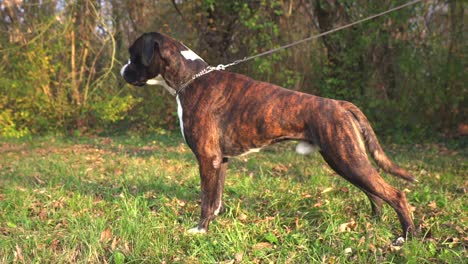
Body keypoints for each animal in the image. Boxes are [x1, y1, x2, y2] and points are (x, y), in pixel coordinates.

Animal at [120, 31, 416, 239]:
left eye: (133, 55)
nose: (122, 70)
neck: (190, 78)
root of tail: (340, 104)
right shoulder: (220, 161)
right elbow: (216, 199)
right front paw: (213, 224)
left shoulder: (207, 159)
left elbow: (205, 199)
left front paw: (200, 230)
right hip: (345, 161)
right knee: (375, 194)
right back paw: (375, 224)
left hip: (347, 160)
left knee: (395, 194)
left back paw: (407, 238)